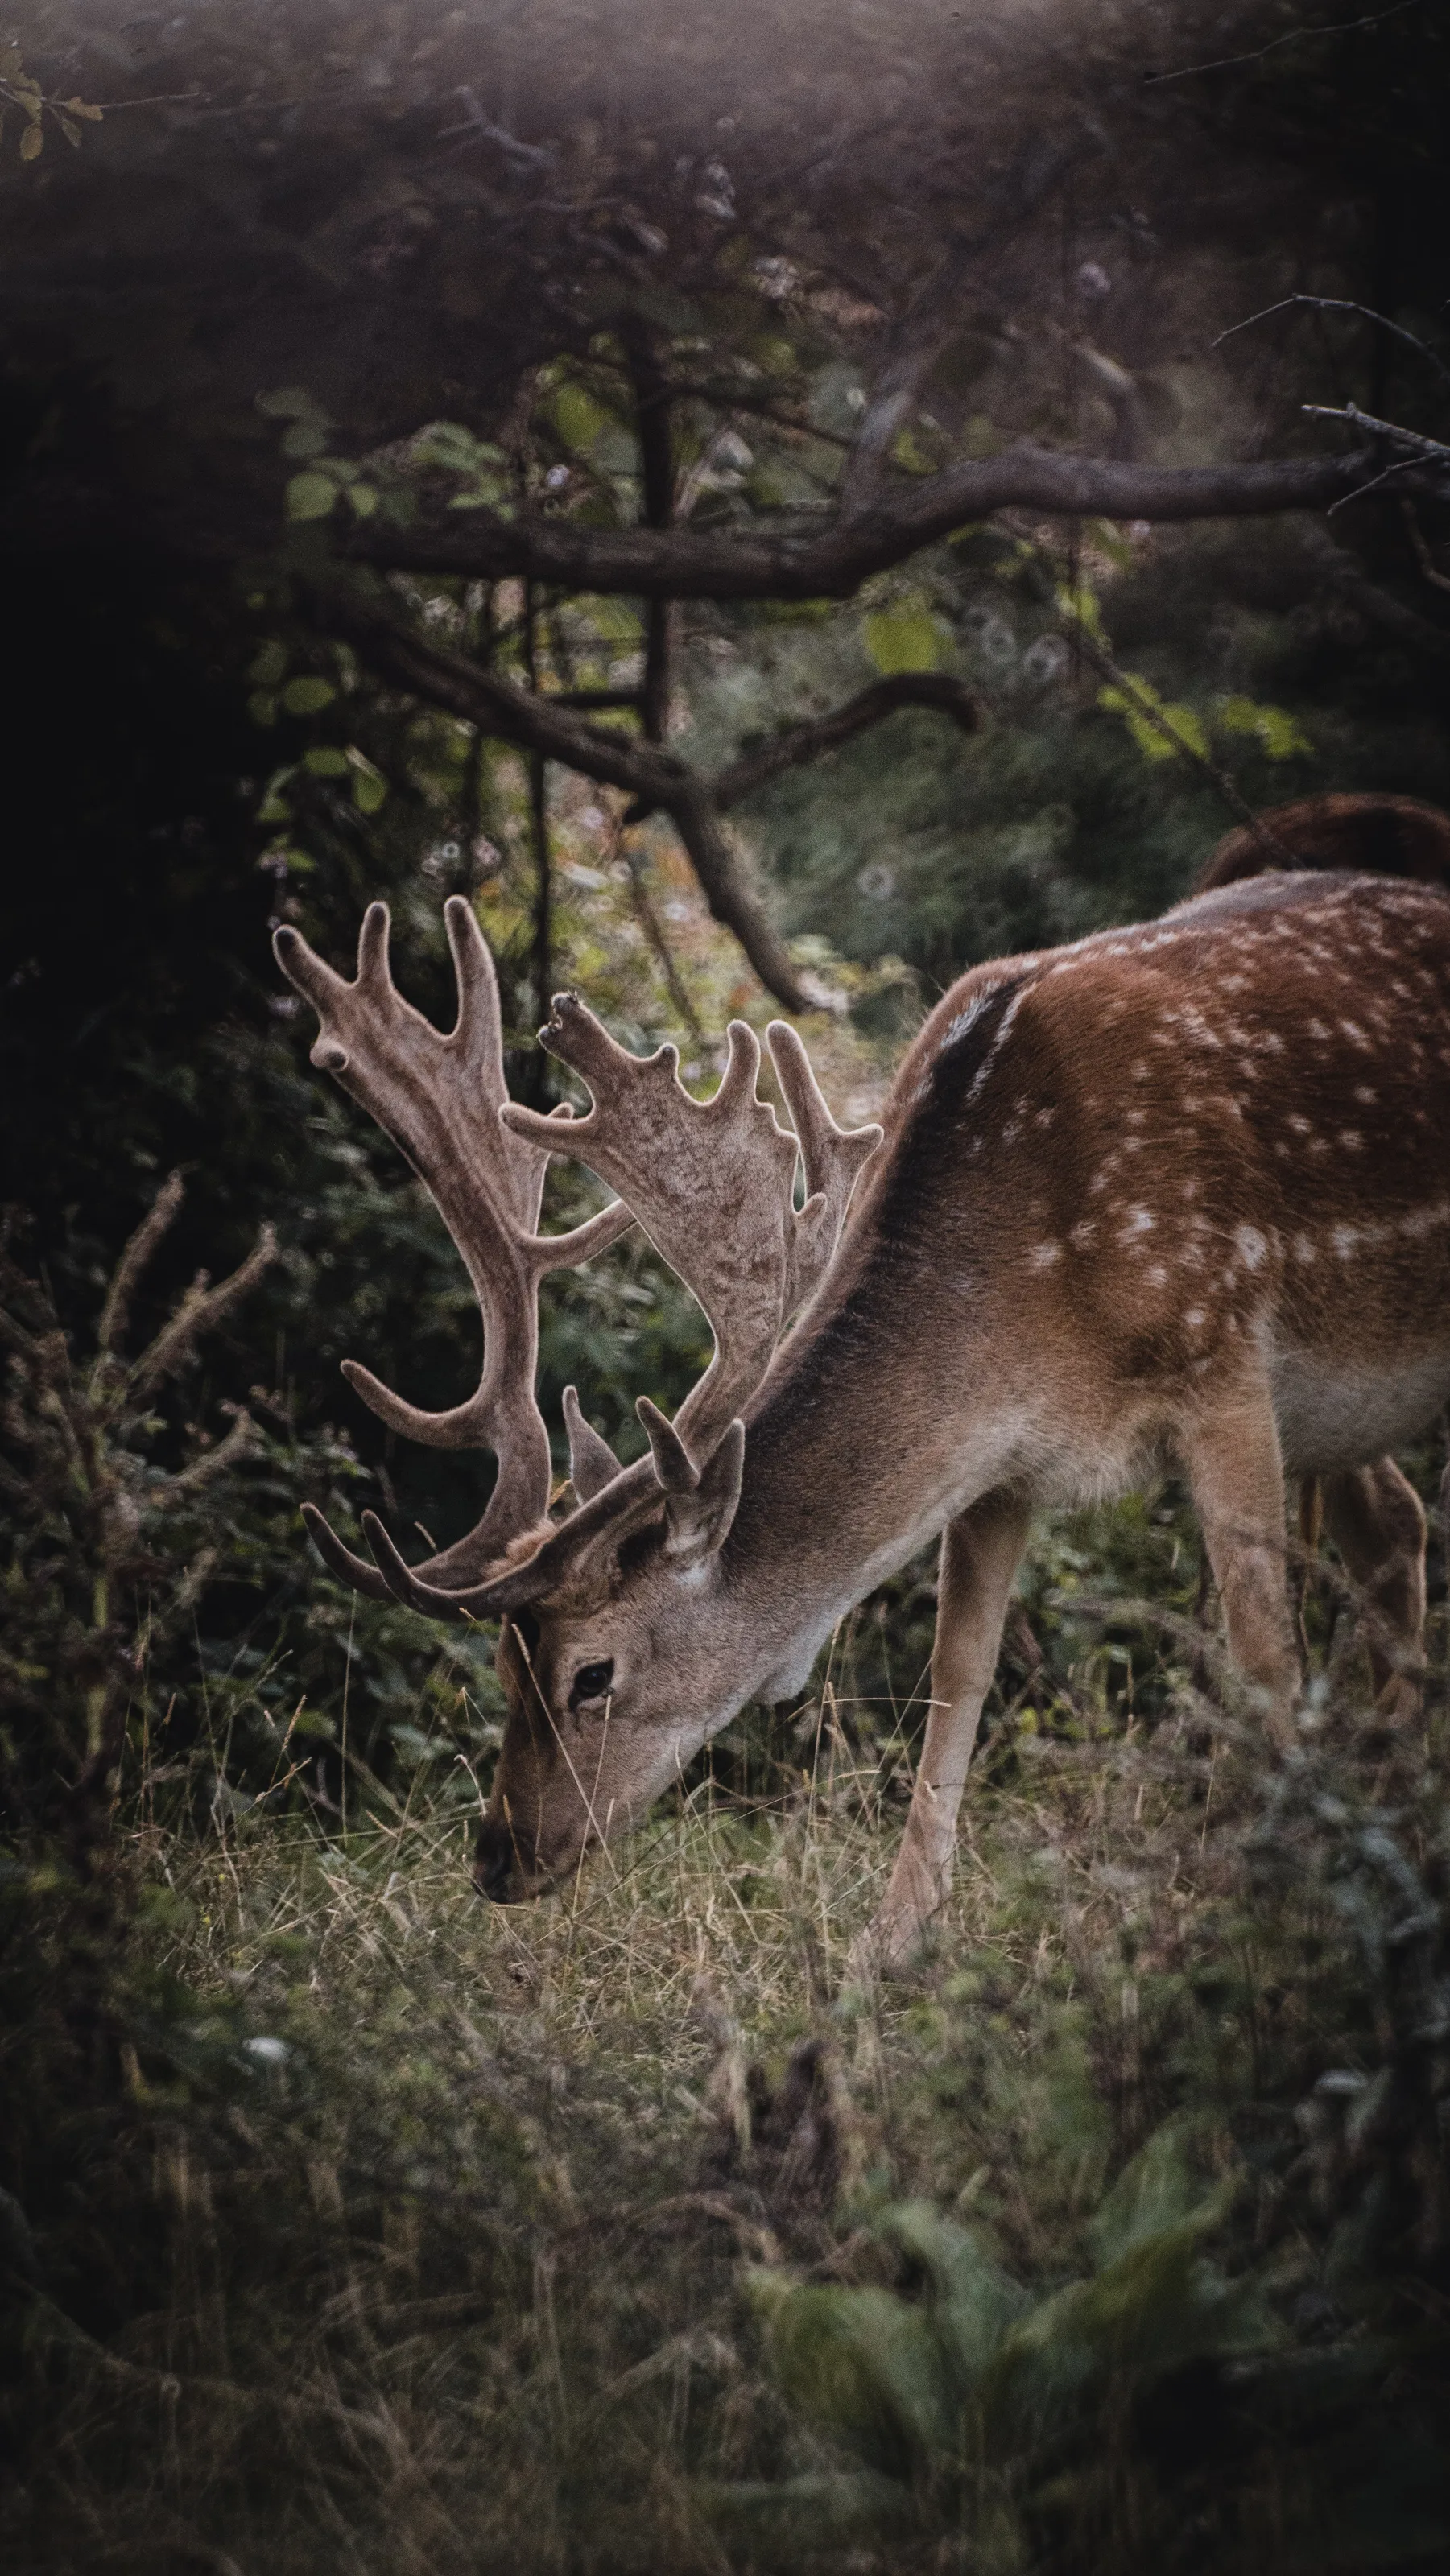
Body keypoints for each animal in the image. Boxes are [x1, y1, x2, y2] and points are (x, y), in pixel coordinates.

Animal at [273, 795, 1450, 1974]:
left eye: (590, 1674)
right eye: (504, 1667)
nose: (500, 1858)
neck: (1040, 1311)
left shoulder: (1220, 1355)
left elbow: (1263, 1655)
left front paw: (1273, 1909)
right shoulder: (1002, 1462)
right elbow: (958, 1668)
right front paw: (889, 1945)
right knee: (1396, 1530)